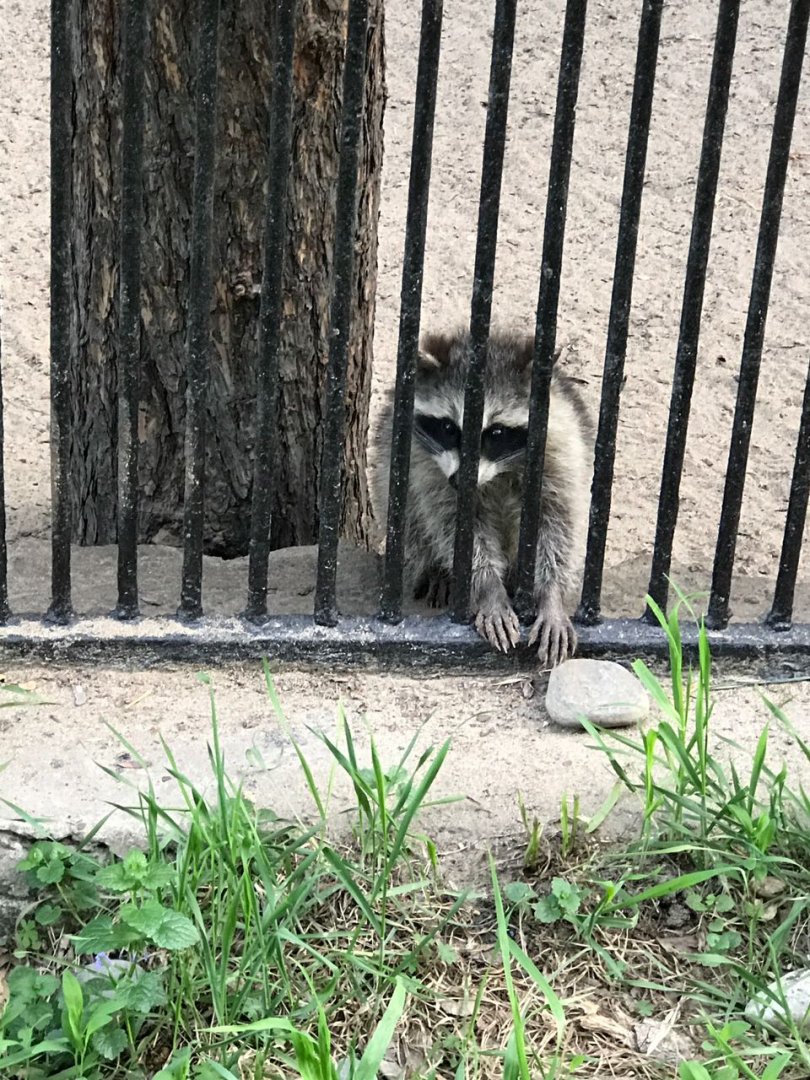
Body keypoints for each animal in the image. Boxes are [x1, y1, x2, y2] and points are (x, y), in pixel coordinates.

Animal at [371, 328, 592, 668]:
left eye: (496, 433)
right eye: (448, 427)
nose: (459, 481)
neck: (498, 471)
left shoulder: (560, 448)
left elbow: (558, 525)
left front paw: (550, 594)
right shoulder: (425, 463)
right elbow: (456, 529)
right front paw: (488, 589)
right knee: (406, 513)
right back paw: (435, 569)